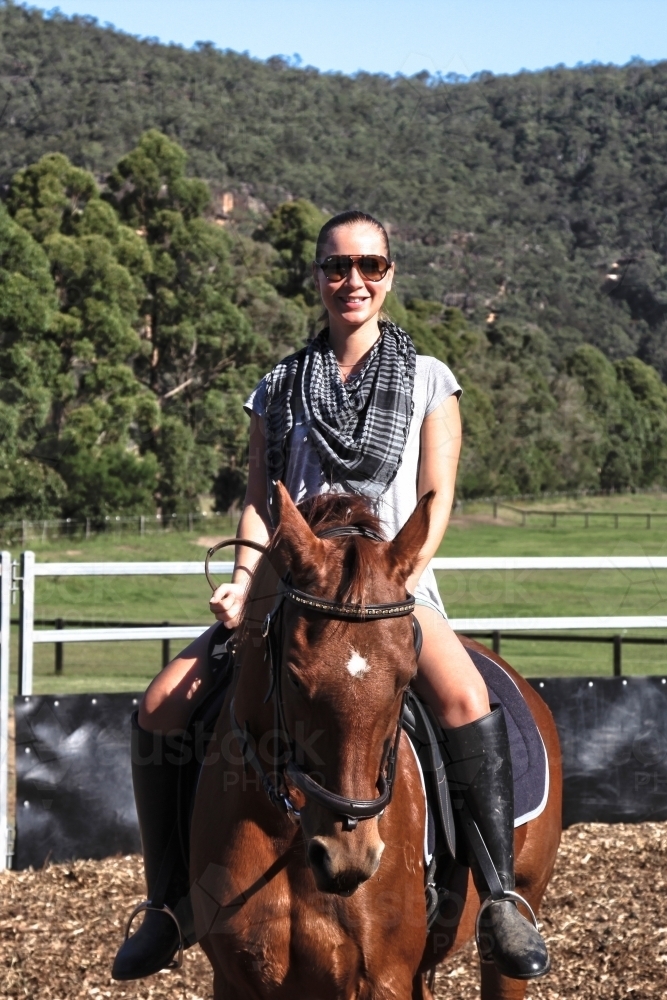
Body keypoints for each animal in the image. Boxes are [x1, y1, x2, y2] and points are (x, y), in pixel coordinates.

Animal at [190, 480, 560, 996]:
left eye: (406, 680)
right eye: (294, 678)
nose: (348, 857)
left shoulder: (382, 978)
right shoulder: (234, 980)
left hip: (521, 901)